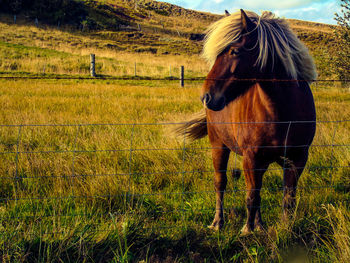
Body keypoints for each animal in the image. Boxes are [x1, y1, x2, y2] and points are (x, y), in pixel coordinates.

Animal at [176, 9, 316, 235]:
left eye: (234, 51)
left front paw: (285, 228)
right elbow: (252, 196)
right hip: (219, 146)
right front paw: (247, 230)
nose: (206, 97)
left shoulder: (298, 158)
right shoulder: (250, 158)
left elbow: (288, 198)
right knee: (220, 183)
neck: (283, 111)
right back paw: (218, 222)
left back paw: (259, 225)